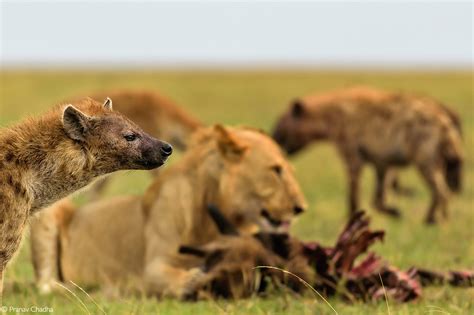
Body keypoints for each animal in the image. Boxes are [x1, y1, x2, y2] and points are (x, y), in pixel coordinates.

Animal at [32, 124, 308, 298]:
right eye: (276, 170)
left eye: (290, 170)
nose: (300, 208)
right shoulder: (151, 267)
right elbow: (168, 275)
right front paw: (193, 281)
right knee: (45, 284)